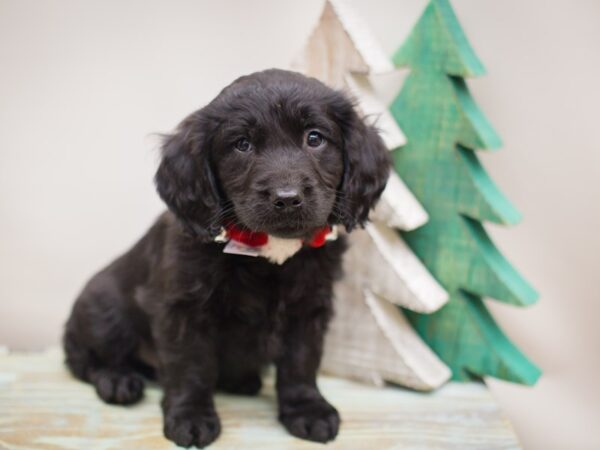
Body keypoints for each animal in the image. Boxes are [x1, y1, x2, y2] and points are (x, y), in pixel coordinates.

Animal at [64, 67, 390, 446]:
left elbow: (301, 362)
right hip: (104, 310)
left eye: (314, 138)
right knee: (83, 359)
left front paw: (307, 410)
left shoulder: (309, 307)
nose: (287, 198)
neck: (266, 252)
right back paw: (117, 380)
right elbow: (189, 365)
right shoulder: (182, 309)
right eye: (242, 144)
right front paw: (190, 416)